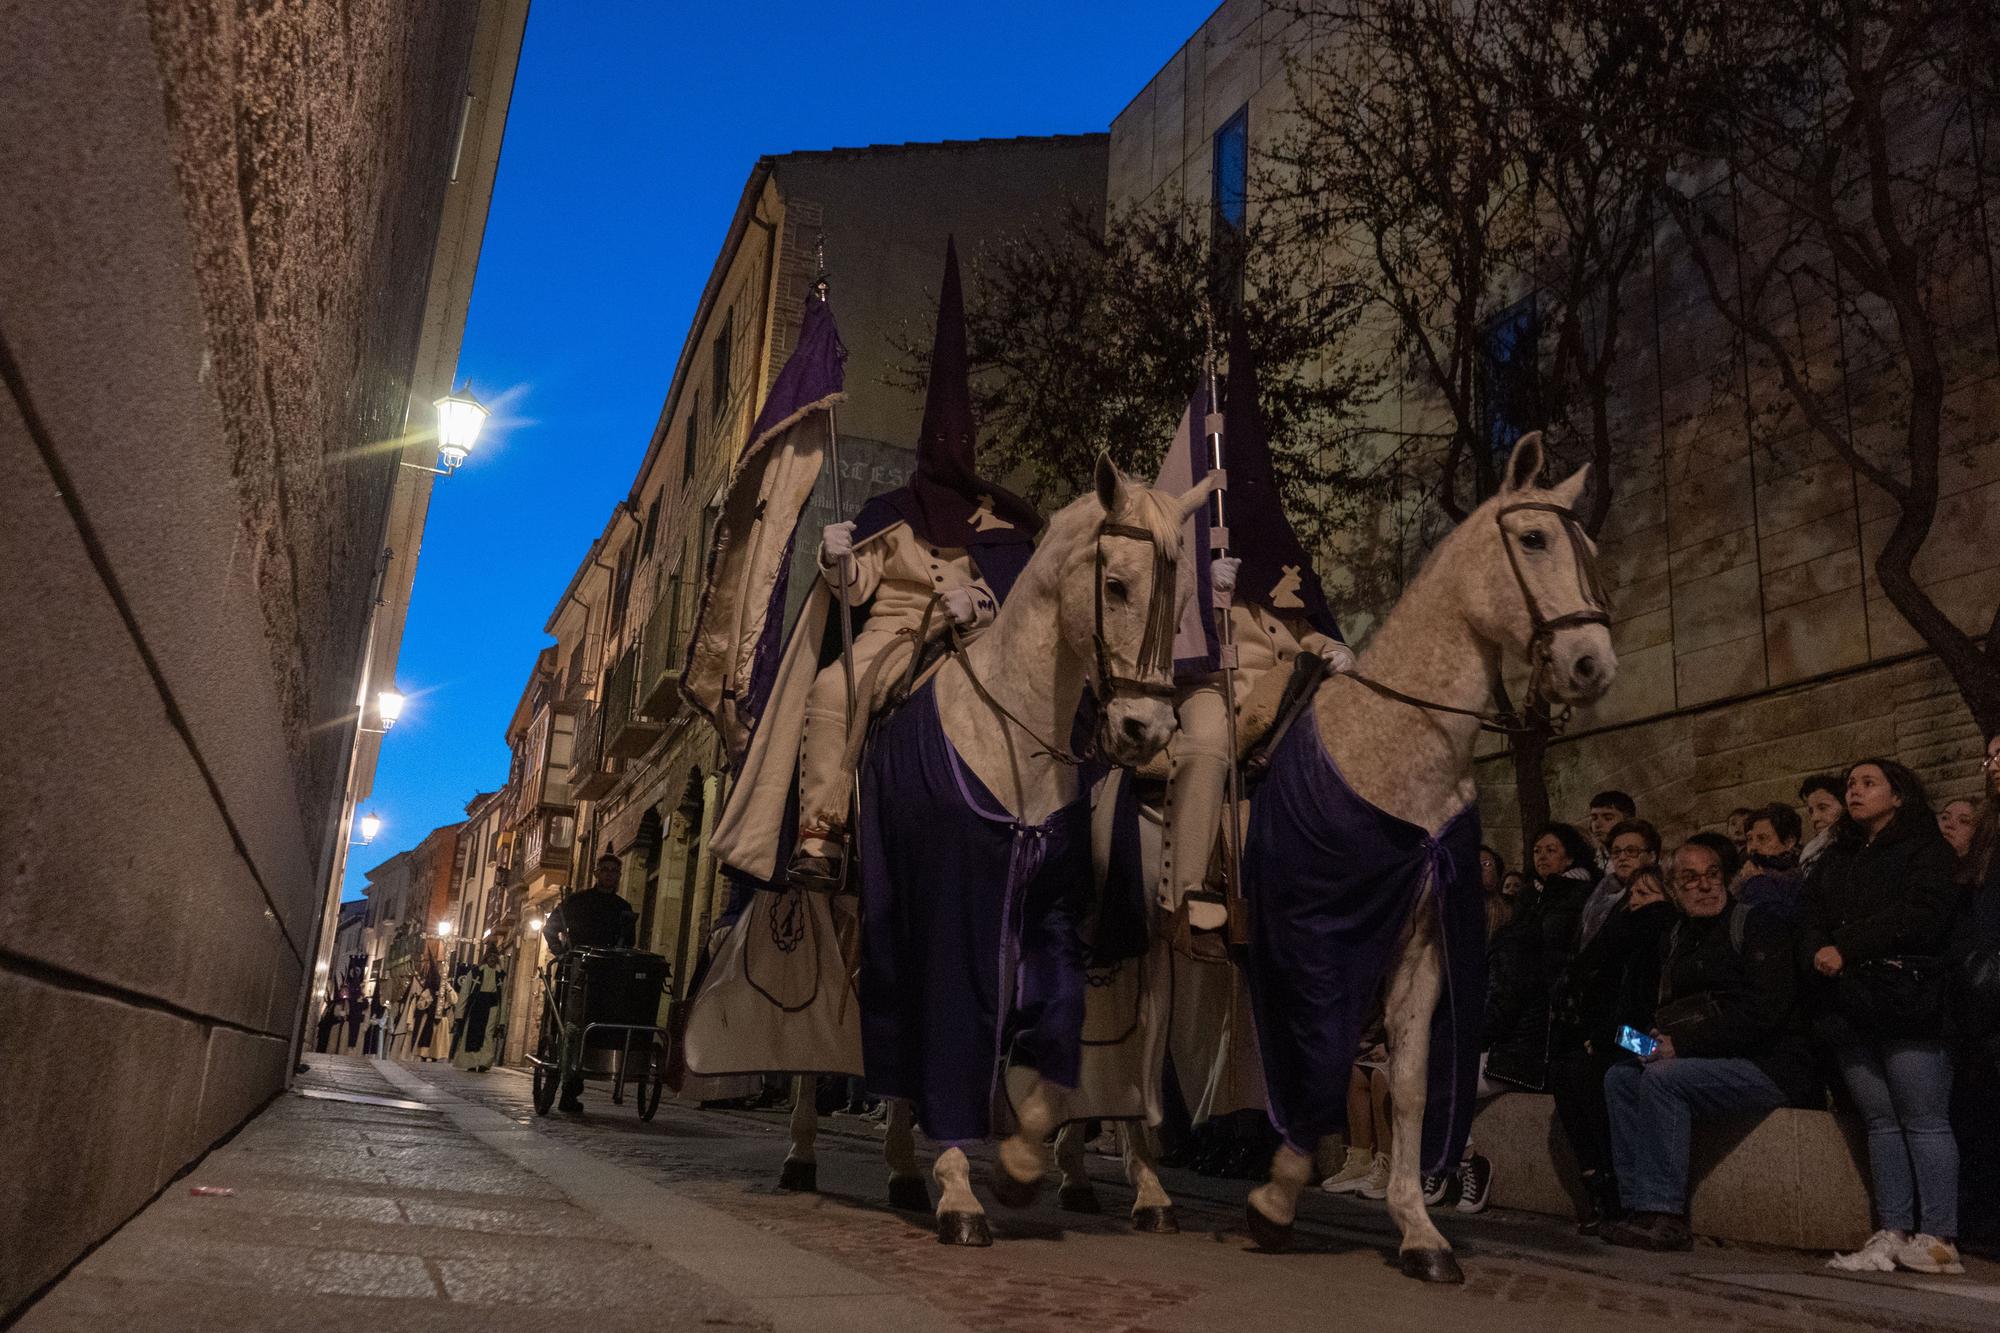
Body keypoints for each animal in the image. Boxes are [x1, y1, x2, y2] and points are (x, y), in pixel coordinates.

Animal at [1240, 436, 1616, 1280]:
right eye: (1533, 538)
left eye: (1590, 547)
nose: (1593, 664)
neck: (1391, 744)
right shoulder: (1316, 943)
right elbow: (1322, 1056)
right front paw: (1275, 1198)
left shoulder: (1419, 942)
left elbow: (1409, 1083)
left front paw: (1418, 1228)